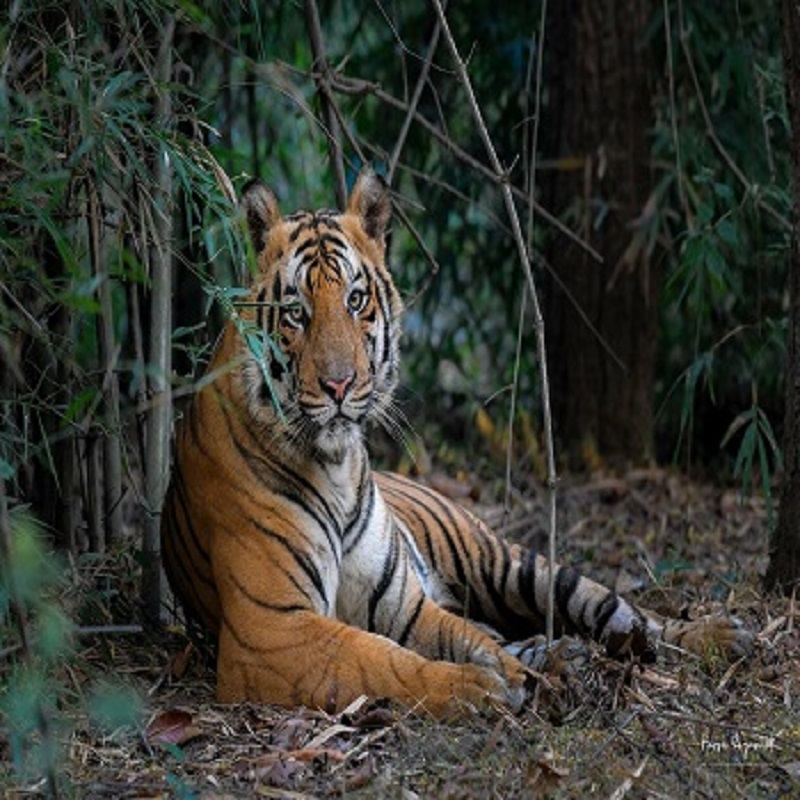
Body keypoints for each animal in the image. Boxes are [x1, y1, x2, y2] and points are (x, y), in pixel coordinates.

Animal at [160, 167, 753, 717]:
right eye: (294, 314)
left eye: (355, 300)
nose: (339, 385)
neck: (335, 464)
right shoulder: (272, 629)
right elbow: (381, 660)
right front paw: (479, 687)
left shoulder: (401, 604)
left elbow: (457, 638)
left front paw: (518, 678)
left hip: (508, 563)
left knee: (625, 613)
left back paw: (720, 637)